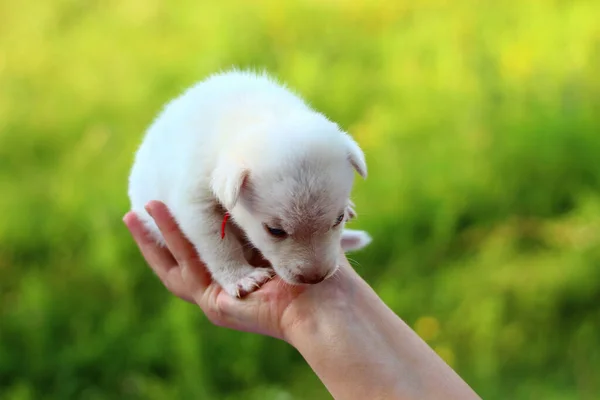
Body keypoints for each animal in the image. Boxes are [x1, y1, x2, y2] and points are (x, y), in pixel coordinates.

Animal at [127, 69, 370, 296]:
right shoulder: (196, 202)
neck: (256, 114)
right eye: (275, 231)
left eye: (338, 219)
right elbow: (219, 244)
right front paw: (241, 277)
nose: (315, 277)